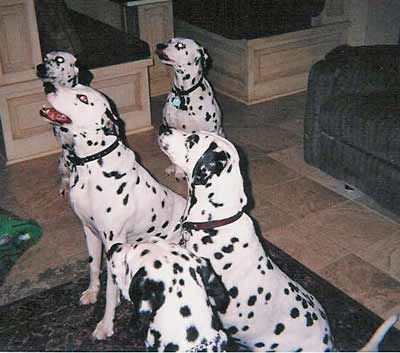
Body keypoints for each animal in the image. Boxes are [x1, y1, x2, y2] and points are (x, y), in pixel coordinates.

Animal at [36, 51, 94, 197]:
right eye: (45, 58)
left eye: (59, 59)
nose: (39, 67)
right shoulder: (67, 150)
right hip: (62, 161)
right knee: (65, 177)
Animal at [39, 84, 187, 340]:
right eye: (74, 86)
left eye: (82, 97)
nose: (49, 86)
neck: (91, 166)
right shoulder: (89, 232)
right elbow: (93, 266)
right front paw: (92, 291)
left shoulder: (113, 242)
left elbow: (110, 292)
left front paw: (105, 325)